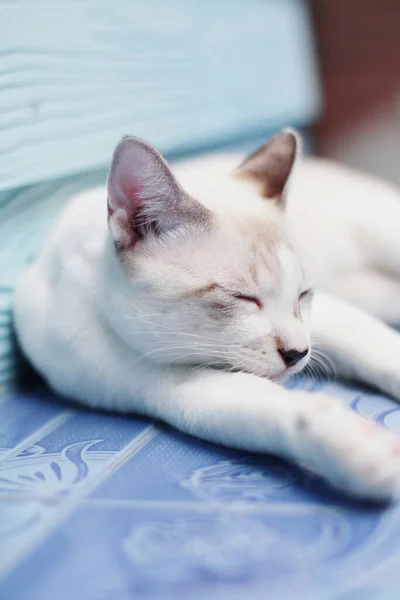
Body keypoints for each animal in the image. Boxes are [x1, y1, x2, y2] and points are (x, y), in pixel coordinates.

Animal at [14, 130, 400, 502]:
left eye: (303, 295)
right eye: (243, 298)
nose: (297, 354)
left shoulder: (326, 317)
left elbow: (381, 351)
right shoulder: (178, 388)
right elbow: (278, 412)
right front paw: (365, 451)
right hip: (368, 291)